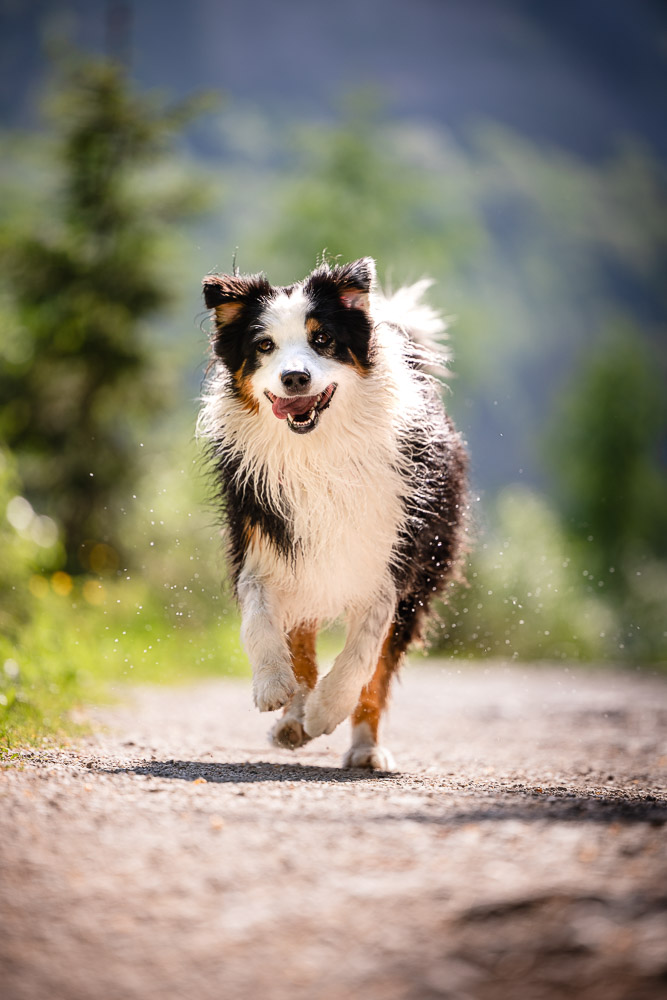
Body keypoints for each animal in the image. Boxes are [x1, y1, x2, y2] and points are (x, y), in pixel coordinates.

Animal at [201, 260, 468, 772]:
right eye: (264, 346)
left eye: (322, 338)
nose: (295, 378)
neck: (319, 453)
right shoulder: (265, 539)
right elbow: (259, 617)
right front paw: (273, 685)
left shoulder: (394, 557)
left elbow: (363, 652)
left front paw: (328, 709)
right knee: (302, 640)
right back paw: (293, 718)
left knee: (379, 669)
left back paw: (363, 746)